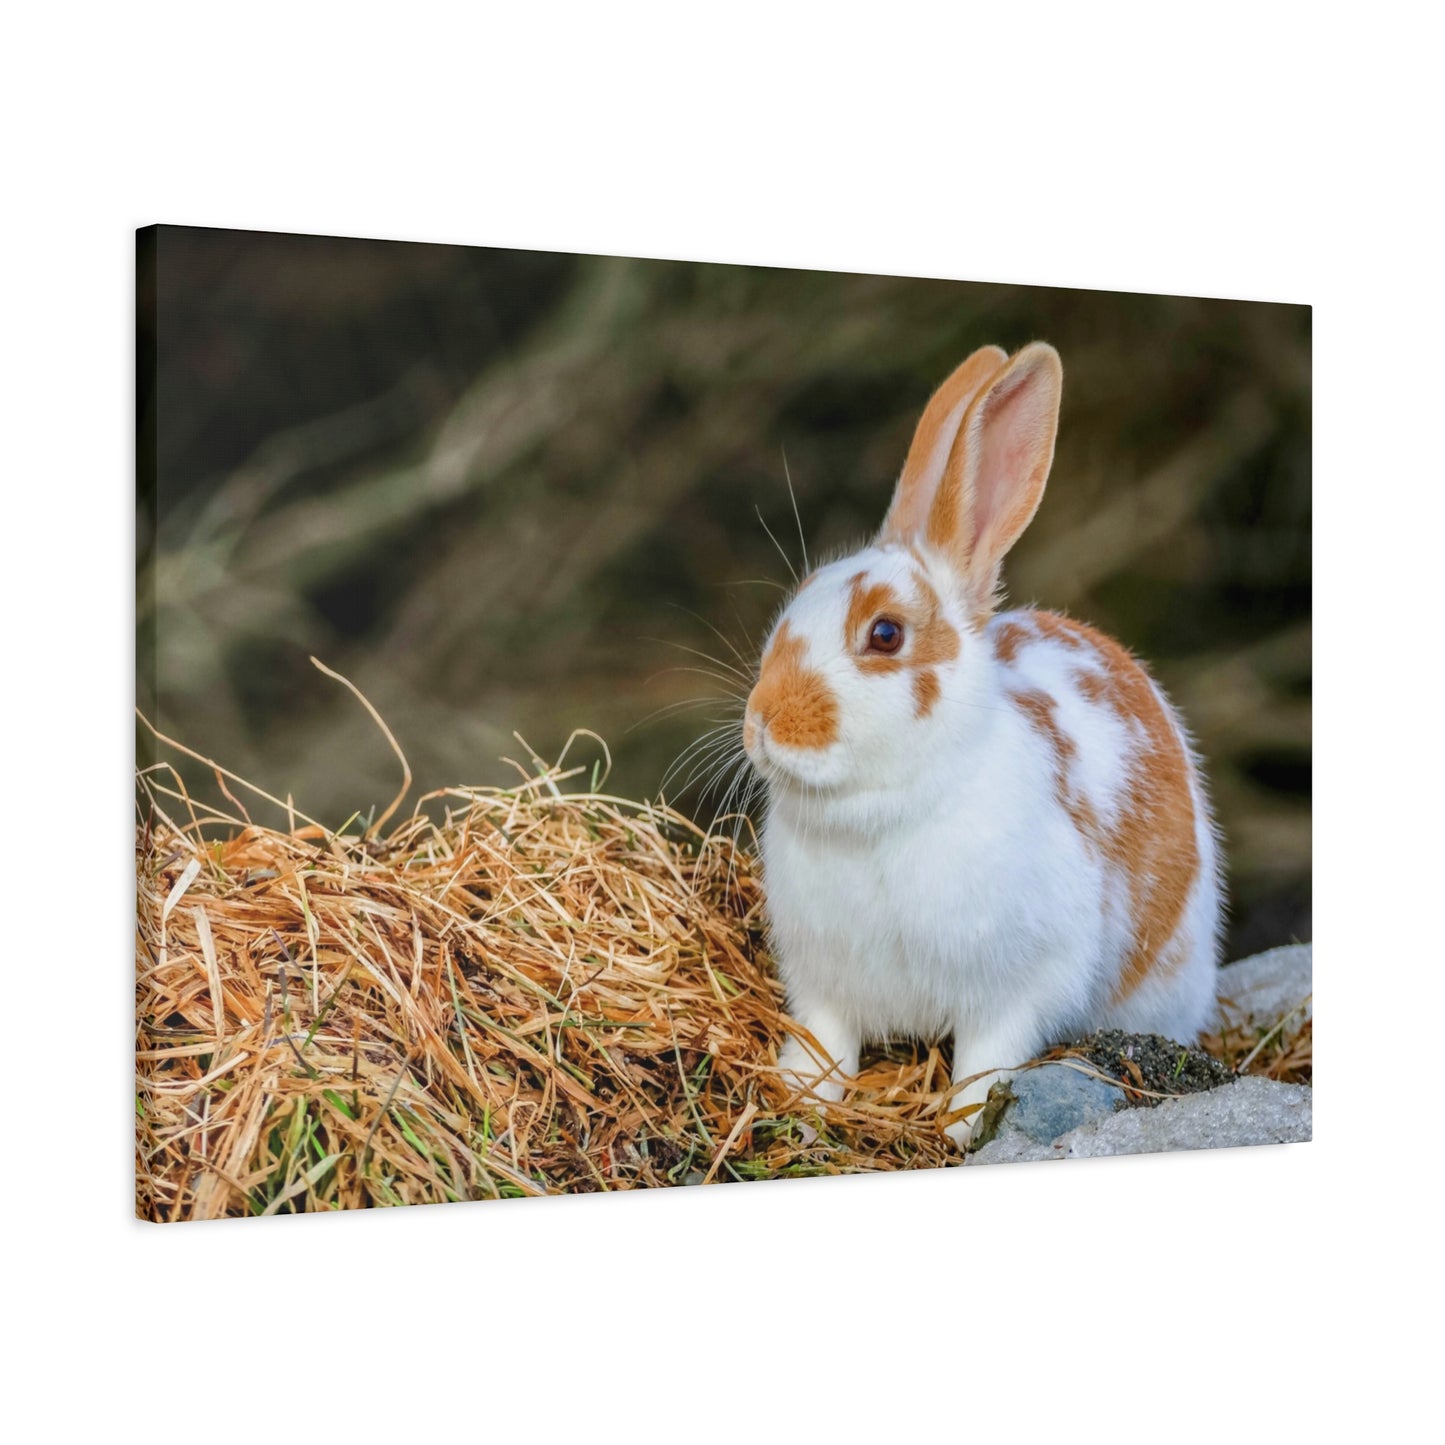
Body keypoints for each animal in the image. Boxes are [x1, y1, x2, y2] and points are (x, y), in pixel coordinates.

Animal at [742, 342, 1222, 1148]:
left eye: (885, 634)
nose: (762, 722)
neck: (878, 818)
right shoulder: (823, 985)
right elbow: (825, 1046)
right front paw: (801, 1101)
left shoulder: (1017, 990)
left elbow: (986, 1058)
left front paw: (963, 1129)